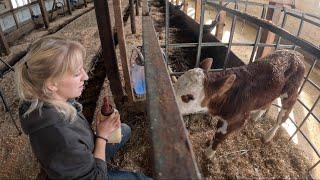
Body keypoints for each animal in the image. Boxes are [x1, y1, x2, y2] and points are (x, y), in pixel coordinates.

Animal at [174, 49, 306, 158]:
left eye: (189, 97)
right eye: (177, 83)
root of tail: (297, 54)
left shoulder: (238, 119)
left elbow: (219, 137)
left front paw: (208, 154)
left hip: (291, 93)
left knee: (283, 116)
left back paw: (268, 136)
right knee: (268, 102)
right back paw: (256, 116)